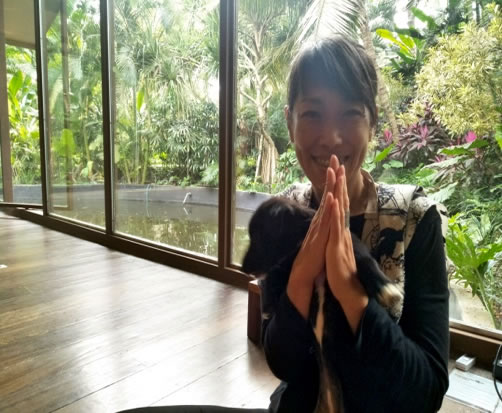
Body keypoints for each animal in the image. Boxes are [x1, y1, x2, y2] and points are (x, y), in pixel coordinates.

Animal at [242, 197, 403, 413]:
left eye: (260, 237)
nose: (243, 268)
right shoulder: (289, 266)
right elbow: (278, 273)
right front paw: (269, 301)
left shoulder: (348, 245)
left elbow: (364, 260)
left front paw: (387, 289)